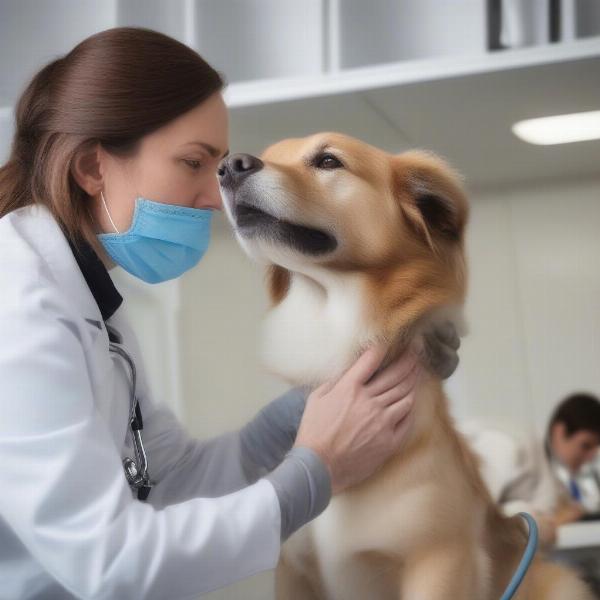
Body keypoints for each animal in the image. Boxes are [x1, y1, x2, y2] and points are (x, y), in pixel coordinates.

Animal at [216, 132, 592, 600]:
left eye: (328, 161)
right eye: (270, 154)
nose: (229, 165)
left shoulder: (439, 560)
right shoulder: (293, 570)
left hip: (561, 583)